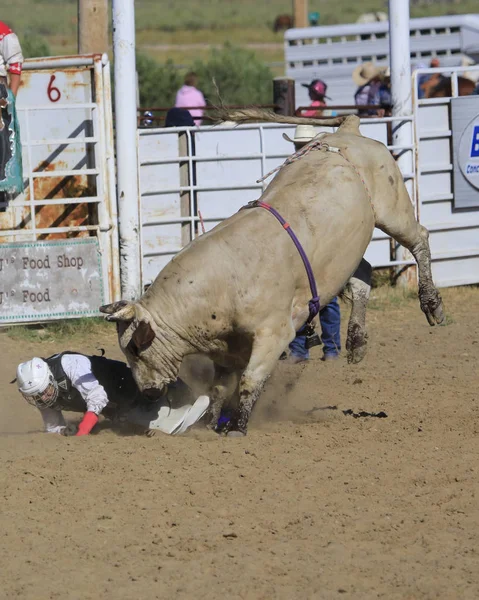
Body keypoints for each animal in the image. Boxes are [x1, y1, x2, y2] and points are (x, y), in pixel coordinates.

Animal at [102, 110, 446, 436]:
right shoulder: (226, 351)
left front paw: (237, 426)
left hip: (393, 211)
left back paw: (431, 303)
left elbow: (250, 380)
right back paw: (357, 341)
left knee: (420, 239)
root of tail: (349, 130)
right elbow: (218, 388)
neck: (220, 283)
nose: (148, 392)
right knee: (362, 274)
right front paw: (212, 421)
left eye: (135, 348)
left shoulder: (274, 333)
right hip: (346, 253)